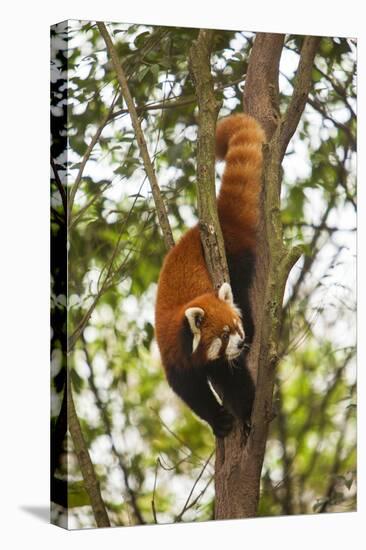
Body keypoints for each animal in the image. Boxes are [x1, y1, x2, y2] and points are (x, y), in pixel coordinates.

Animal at [155, 113, 266, 440]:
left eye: (235, 326)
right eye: (224, 334)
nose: (241, 343)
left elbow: (235, 379)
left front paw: (246, 412)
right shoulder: (175, 358)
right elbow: (191, 393)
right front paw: (218, 420)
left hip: (237, 260)